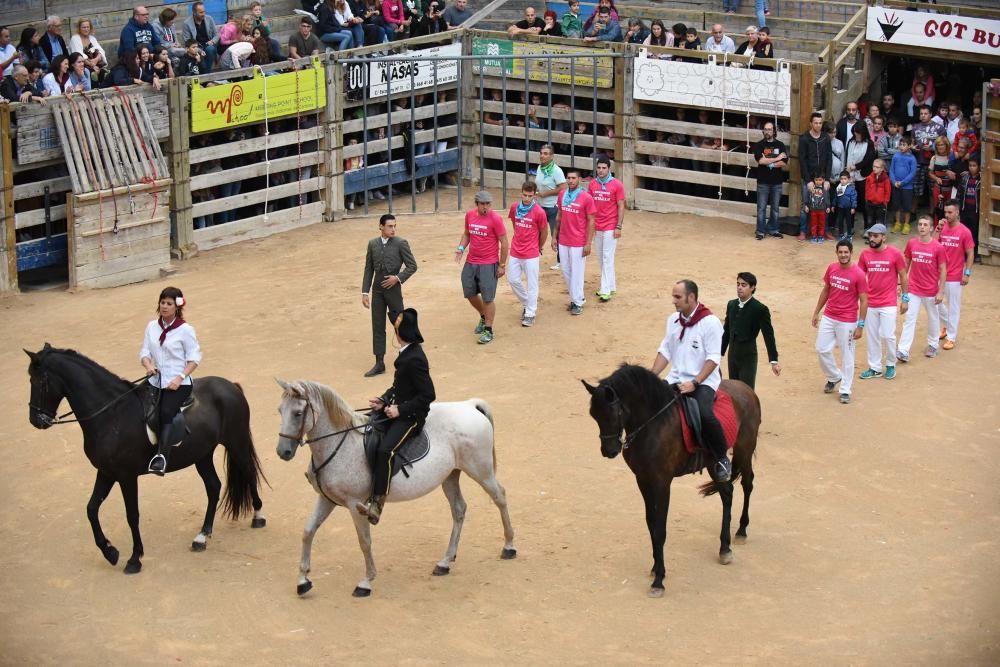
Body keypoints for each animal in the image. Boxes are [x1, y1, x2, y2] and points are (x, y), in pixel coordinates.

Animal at [278, 384, 520, 596]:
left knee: (500, 496)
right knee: (459, 509)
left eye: (298, 413)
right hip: (451, 476)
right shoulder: (327, 499)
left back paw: (509, 546)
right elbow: (308, 531)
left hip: (480, 471)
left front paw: (366, 582)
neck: (339, 443)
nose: (283, 452)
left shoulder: (355, 505)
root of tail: (469, 405)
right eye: (280, 410)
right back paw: (445, 561)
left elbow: (364, 541)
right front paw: (303, 580)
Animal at [584, 366, 760, 600]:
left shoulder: (662, 482)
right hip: (713, 461)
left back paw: (741, 531)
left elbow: (660, 529)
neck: (653, 424)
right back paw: (725, 548)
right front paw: (655, 568)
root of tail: (746, 389)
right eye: (593, 415)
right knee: (727, 493)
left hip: (744, 449)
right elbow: (651, 524)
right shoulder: (643, 480)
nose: (608, 451)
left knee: (747, 484)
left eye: (614, 413)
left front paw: (659, 580)